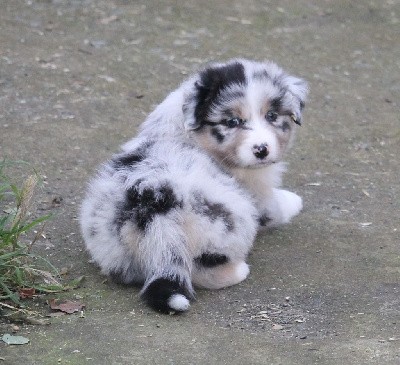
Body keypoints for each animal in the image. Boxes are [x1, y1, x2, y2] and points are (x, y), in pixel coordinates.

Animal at [79, 58, 308, 312]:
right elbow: (275, 206)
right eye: (231, 122)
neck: (192, 135)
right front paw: (294, 201)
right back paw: (239, 270)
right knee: (201, 268)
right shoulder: (256, 193)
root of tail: (154, 208)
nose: (261, 150)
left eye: (272, 115)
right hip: (230, 221)